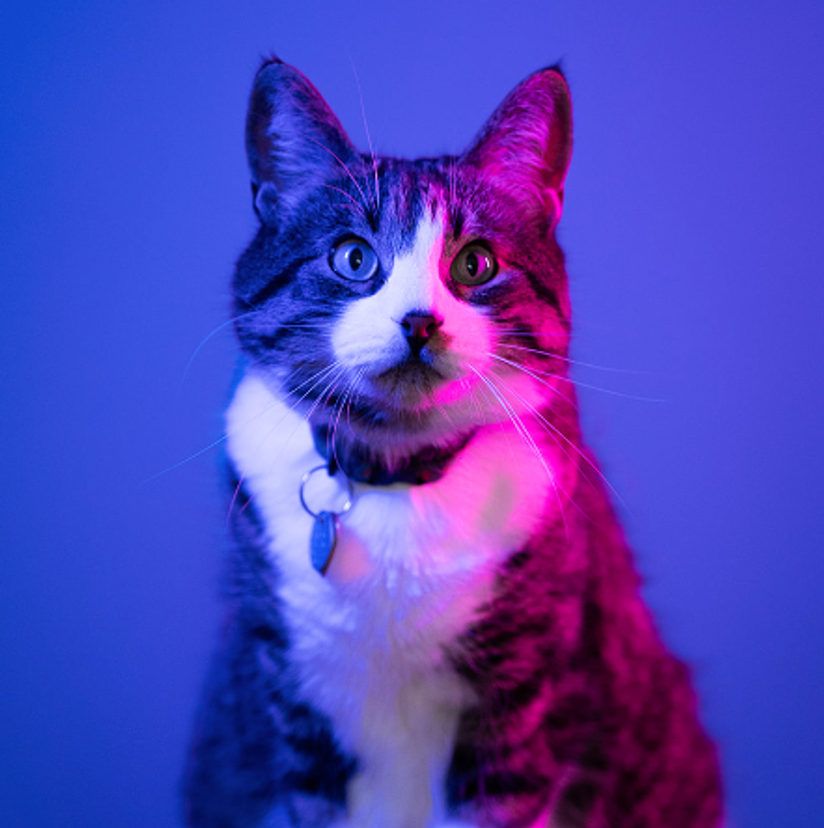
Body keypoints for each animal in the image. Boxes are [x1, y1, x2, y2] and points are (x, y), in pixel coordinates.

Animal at [185, 58, 720, 828]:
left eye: (475, 265)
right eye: (353, 258)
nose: (420, 321)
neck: (394, 473)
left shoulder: (520, 710)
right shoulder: (294, 708)